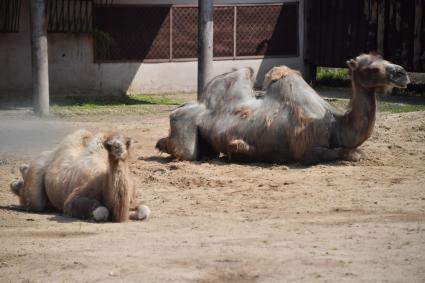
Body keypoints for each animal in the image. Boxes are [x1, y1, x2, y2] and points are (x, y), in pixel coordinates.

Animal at [9, 130, 151, 223]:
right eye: (109, 144)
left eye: (126, 142)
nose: (118, 149)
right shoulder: (73, 200)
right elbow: (101, 211)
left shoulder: (132, 197)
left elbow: (145, 210)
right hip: (37, 172)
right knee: (34, 202)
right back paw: (16, 184)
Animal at [157, 53, 410, 164]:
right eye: (371, 68)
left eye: (384, 58)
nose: (402, 73)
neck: (335, 124)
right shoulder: (307, 151)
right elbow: (351, 154)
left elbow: (358, 152)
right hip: (185, 129)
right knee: (185, 151)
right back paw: (162, 144)